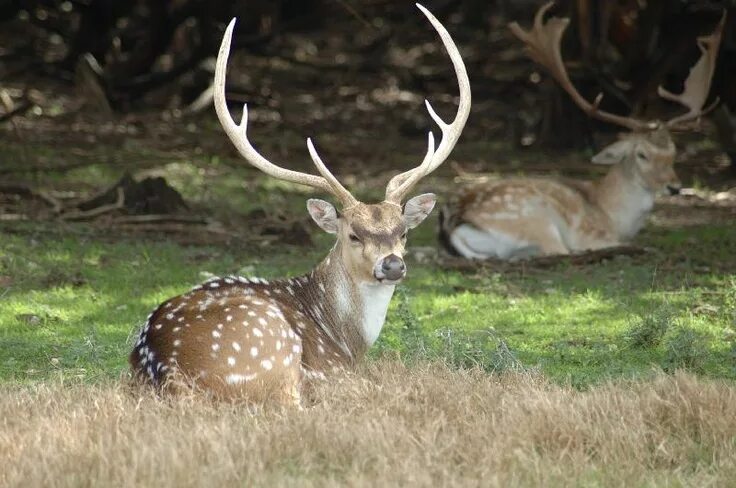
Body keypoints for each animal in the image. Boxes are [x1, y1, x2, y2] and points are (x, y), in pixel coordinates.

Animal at [127, 4, 472, 404]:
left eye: (403, 232)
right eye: (353, 235)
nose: (392, 265)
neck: (348, 340)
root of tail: (166, 369)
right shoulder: (335, 371)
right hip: (273, 350)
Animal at [436, 1, 724, 262]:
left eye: (673, 152)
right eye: (642, 154)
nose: (675, 187)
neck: (612, 214)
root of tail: (455, 224)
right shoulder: (591, 232)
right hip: (537, 220)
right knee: (559, 250)